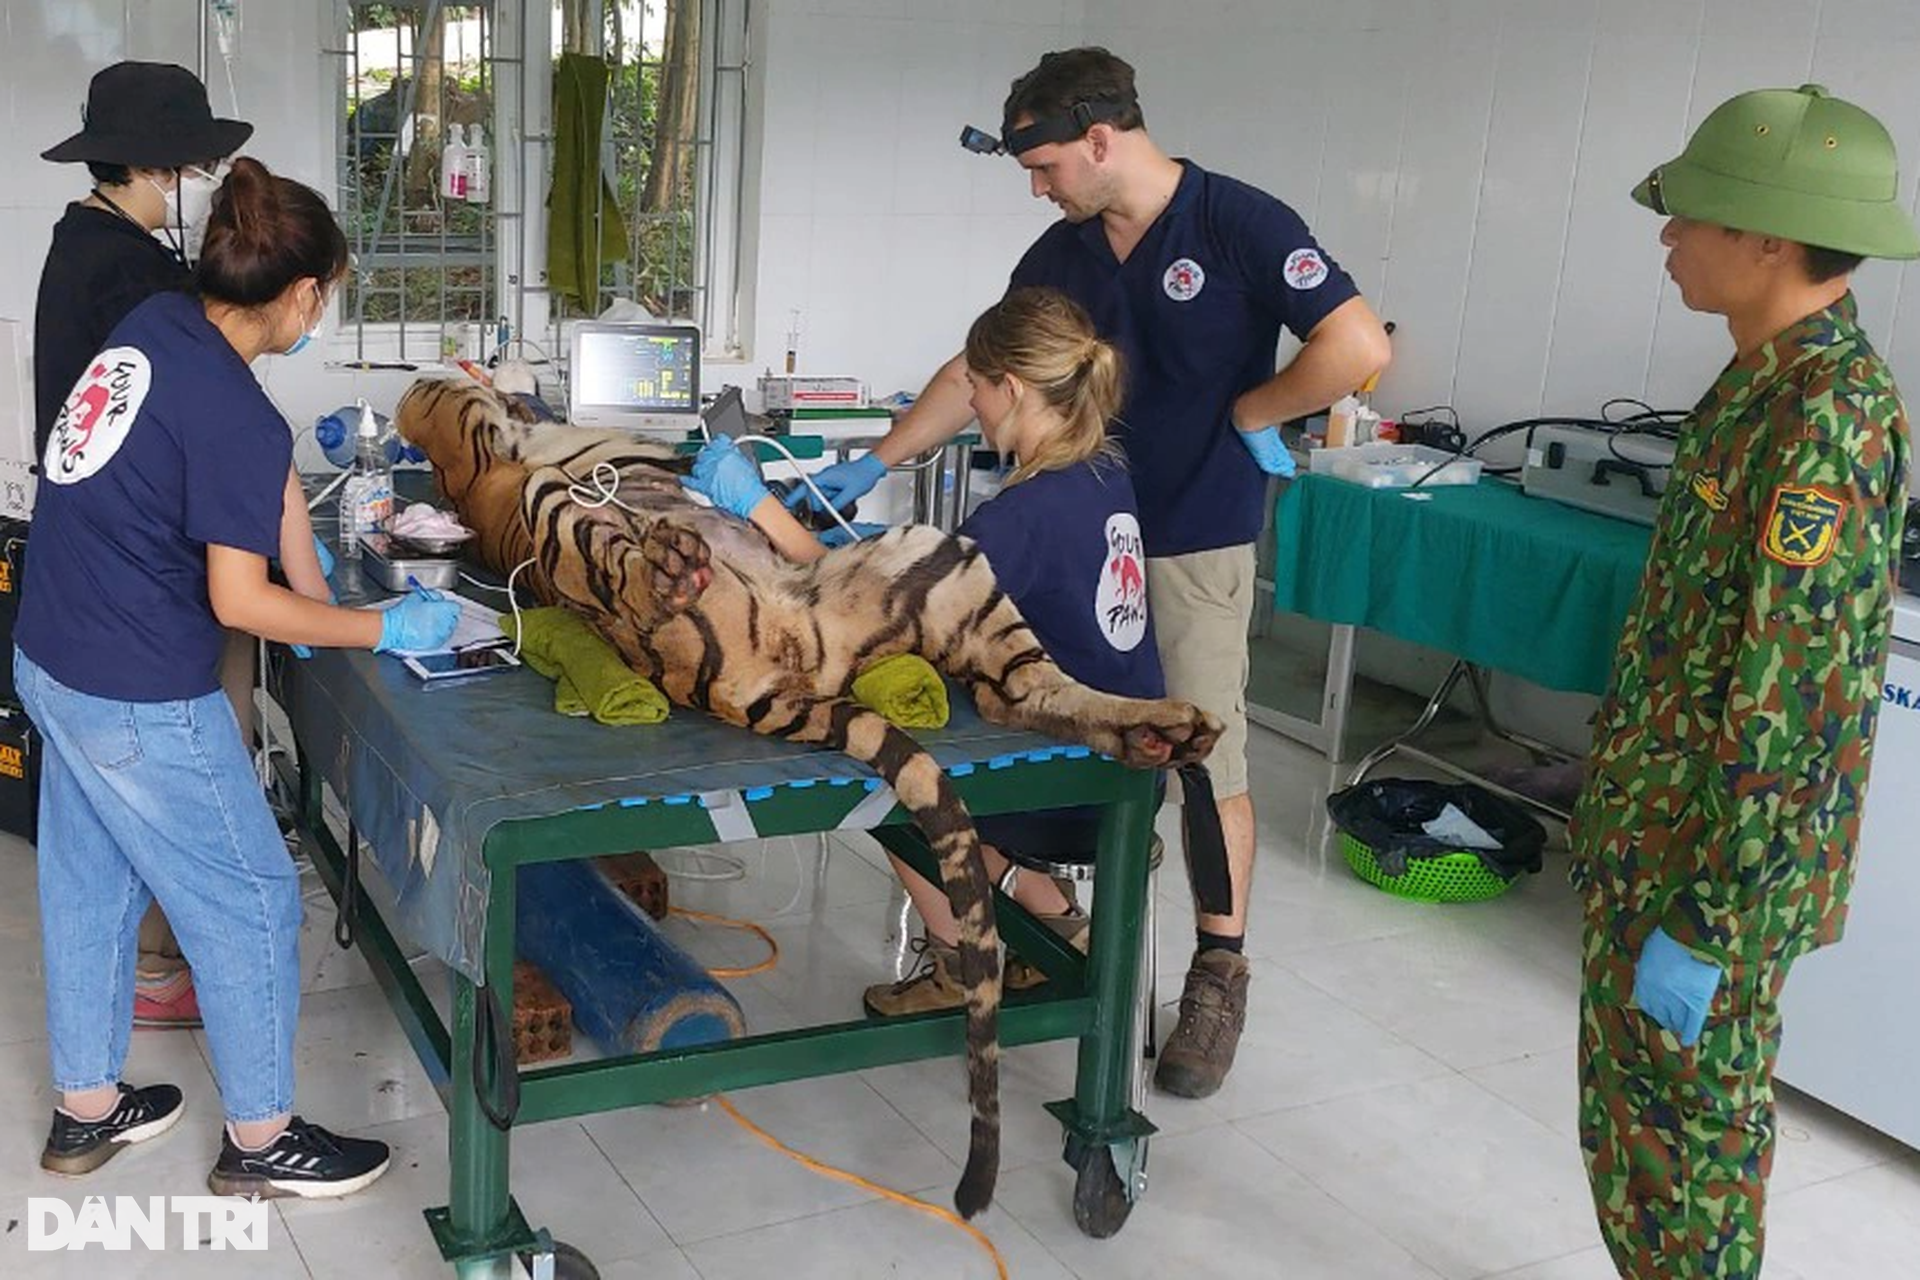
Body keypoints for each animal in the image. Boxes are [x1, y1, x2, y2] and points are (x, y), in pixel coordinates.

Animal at [395, 376, 1221, 1220]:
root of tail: (743, 678)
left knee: (1014, 690)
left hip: (929, 553)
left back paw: (1165, 731)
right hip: (869, 551)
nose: (493, 382)